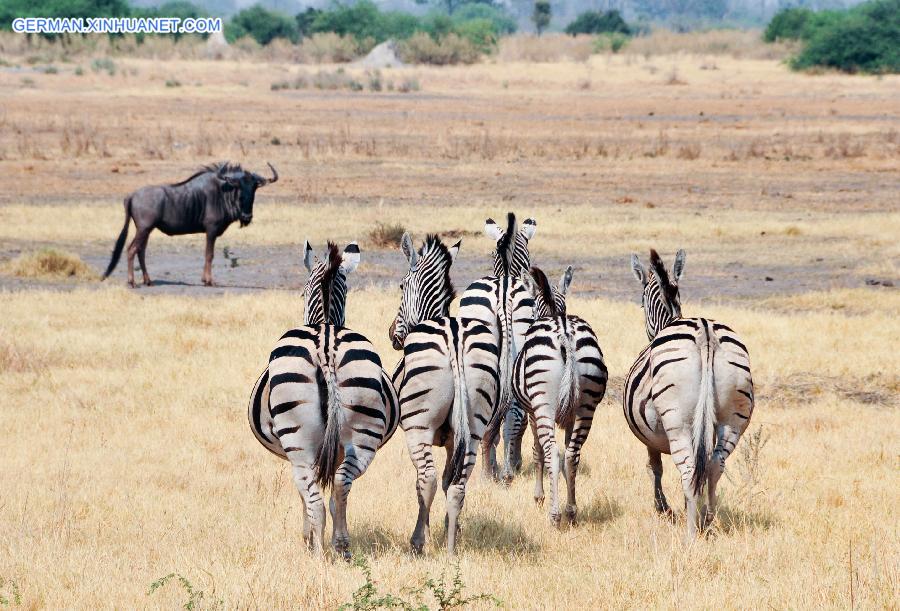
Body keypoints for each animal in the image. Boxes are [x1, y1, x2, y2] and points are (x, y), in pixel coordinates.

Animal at [248, 241, 400, 556]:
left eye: (302, 293)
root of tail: (326, 346)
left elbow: (304, 497)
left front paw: (306, 538)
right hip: (364, 431)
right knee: (342, 483)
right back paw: (341, 546)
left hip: (298, 442)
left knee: (313, 497)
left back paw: (316, 551)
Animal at [386, 233, 500, 556]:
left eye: (402, 286)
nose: (392, 335)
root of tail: (455, 339)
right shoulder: (453, 438)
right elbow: (450, 482)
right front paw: (453, 526)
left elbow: (423, 483)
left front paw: (426, 529)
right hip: (474, 425)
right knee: (459, 484)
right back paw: (450, 549)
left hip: (418, 426)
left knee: (427, 479)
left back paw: (416, 543)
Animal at [510, 266, 608, 524]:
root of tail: (564, 332)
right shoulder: (570, 416)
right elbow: (566, 458)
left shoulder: (532, 412)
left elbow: (537, 452)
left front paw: (539, 497)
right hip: (587, 405)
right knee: (572, 454)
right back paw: (571, 511)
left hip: (543, 404)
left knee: (551, 452)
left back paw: (554, 515)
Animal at [624, 251, 752, 536]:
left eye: (641, 305)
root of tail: (705, 333)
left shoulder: (650, 437)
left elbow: (655, 469)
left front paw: (664, 508)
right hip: (733, 418)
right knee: (713, 465)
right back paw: (707, 521)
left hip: (678, 419)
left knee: (690, 467)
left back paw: (691, 532)